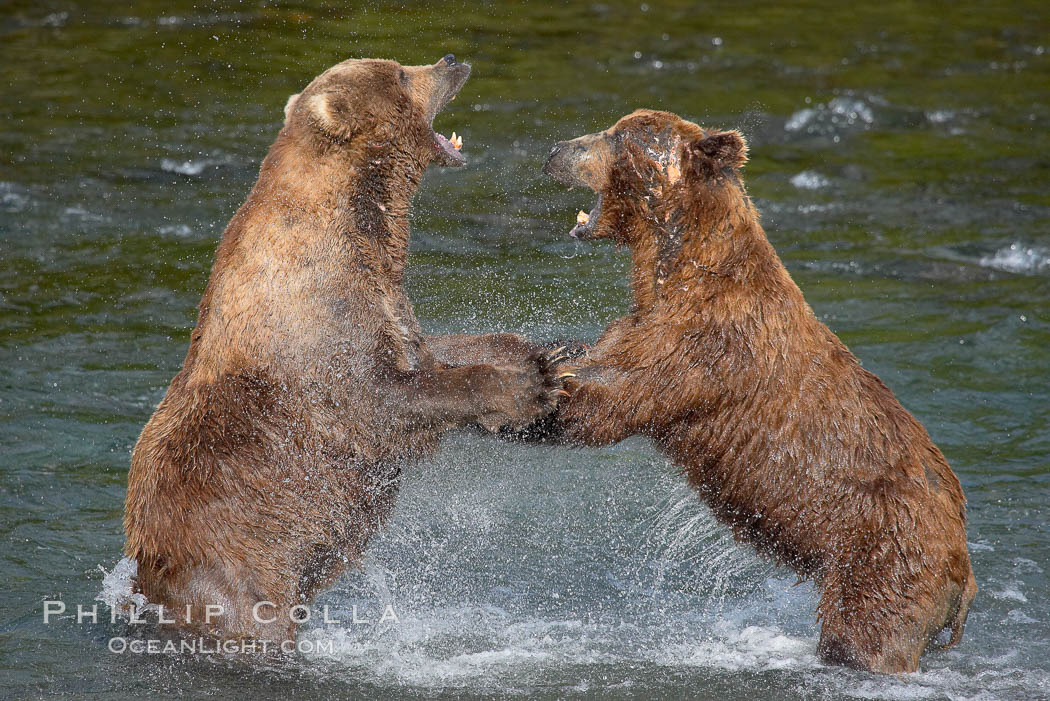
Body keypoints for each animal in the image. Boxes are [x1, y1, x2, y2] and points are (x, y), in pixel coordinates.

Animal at [122, 56, 567, 646]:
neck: (361, 225)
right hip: (232, 569)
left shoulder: (383, 299)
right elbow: (379, 400)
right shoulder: (317, 318)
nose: (451, 60)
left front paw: (539, 355)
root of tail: (143, 575)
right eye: (401, 75)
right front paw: (529, 384)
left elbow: (424, 352)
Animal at [546, 109, 978, 671]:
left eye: (617, 137)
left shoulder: (707, 345)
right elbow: (596, 356)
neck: (676, 269)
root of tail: (965, 569)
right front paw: (552, 356)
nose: (554, 150)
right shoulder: (645, 326)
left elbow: (614, 402)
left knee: (865, 632)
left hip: (886, 551)